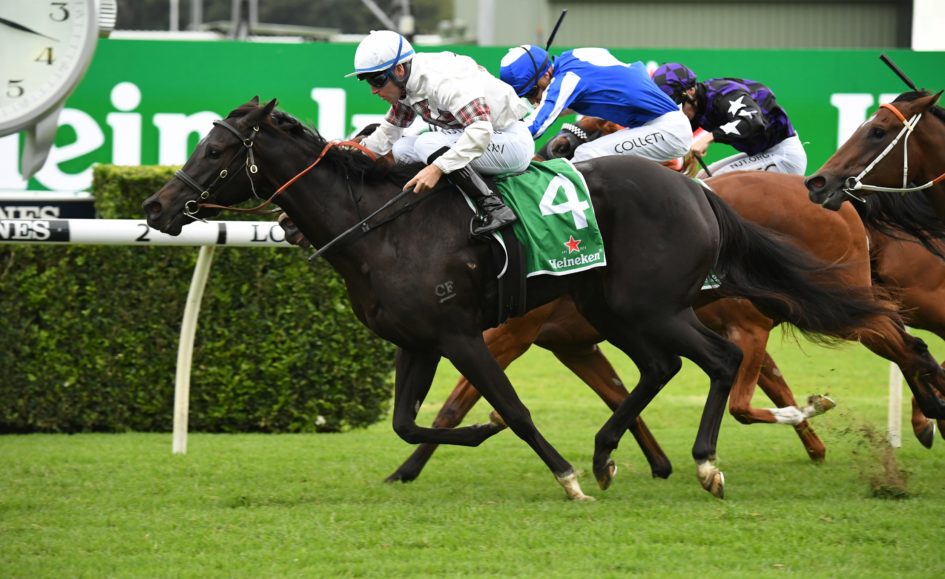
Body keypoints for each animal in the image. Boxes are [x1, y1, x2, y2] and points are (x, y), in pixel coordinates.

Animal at [385, 171, 945, 485]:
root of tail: (844, 203)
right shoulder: (575, 343)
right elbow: (621, 391)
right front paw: (644, 462)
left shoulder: (504, 334)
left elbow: (458, 403)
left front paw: (408, 467)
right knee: (902, 343)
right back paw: (916, 415)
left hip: (819, 302)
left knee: (904, 342)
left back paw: (926, 412)